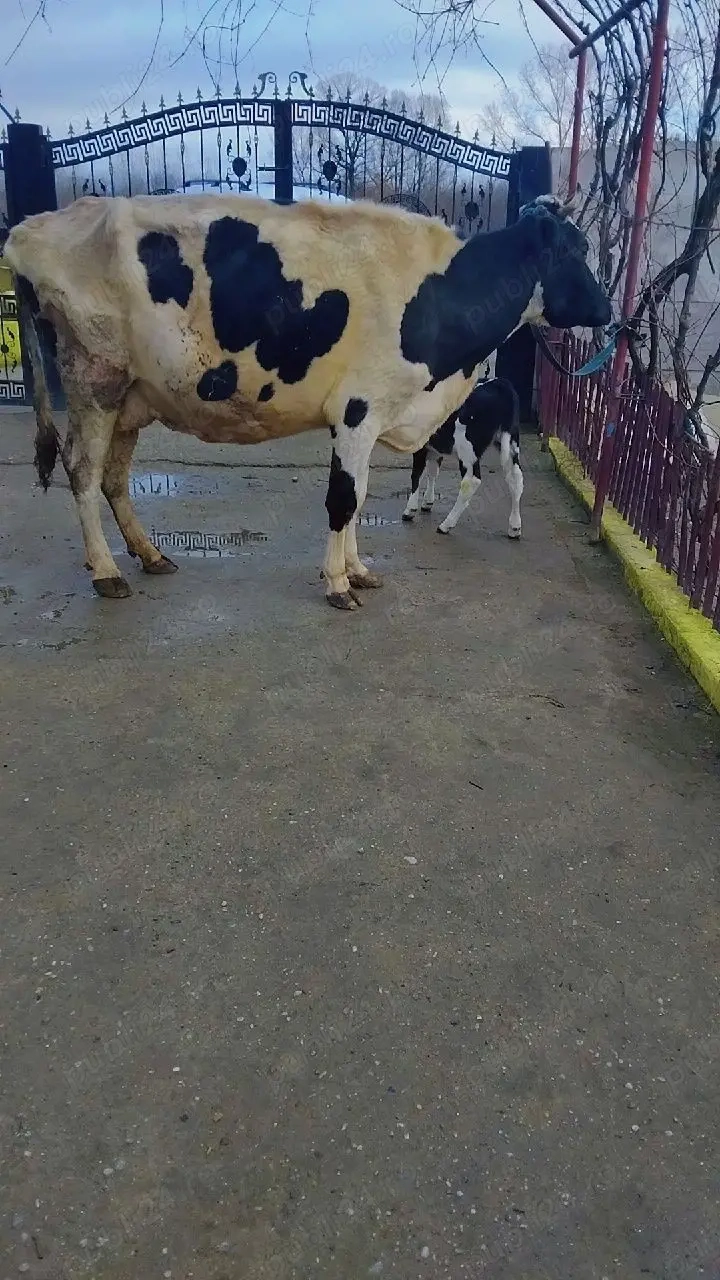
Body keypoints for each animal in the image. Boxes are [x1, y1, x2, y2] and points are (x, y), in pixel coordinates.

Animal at [401, 376, 523, 538]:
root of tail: (500, 383)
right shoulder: (435, 447)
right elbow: (432, 472)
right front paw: (427, 502)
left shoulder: (420, 444)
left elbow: (416, 474)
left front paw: (410, 509)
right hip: (510, 442)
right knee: (516, 478)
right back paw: (515, 527)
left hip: (467, 450)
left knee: (471, 481)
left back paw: (446, 525)